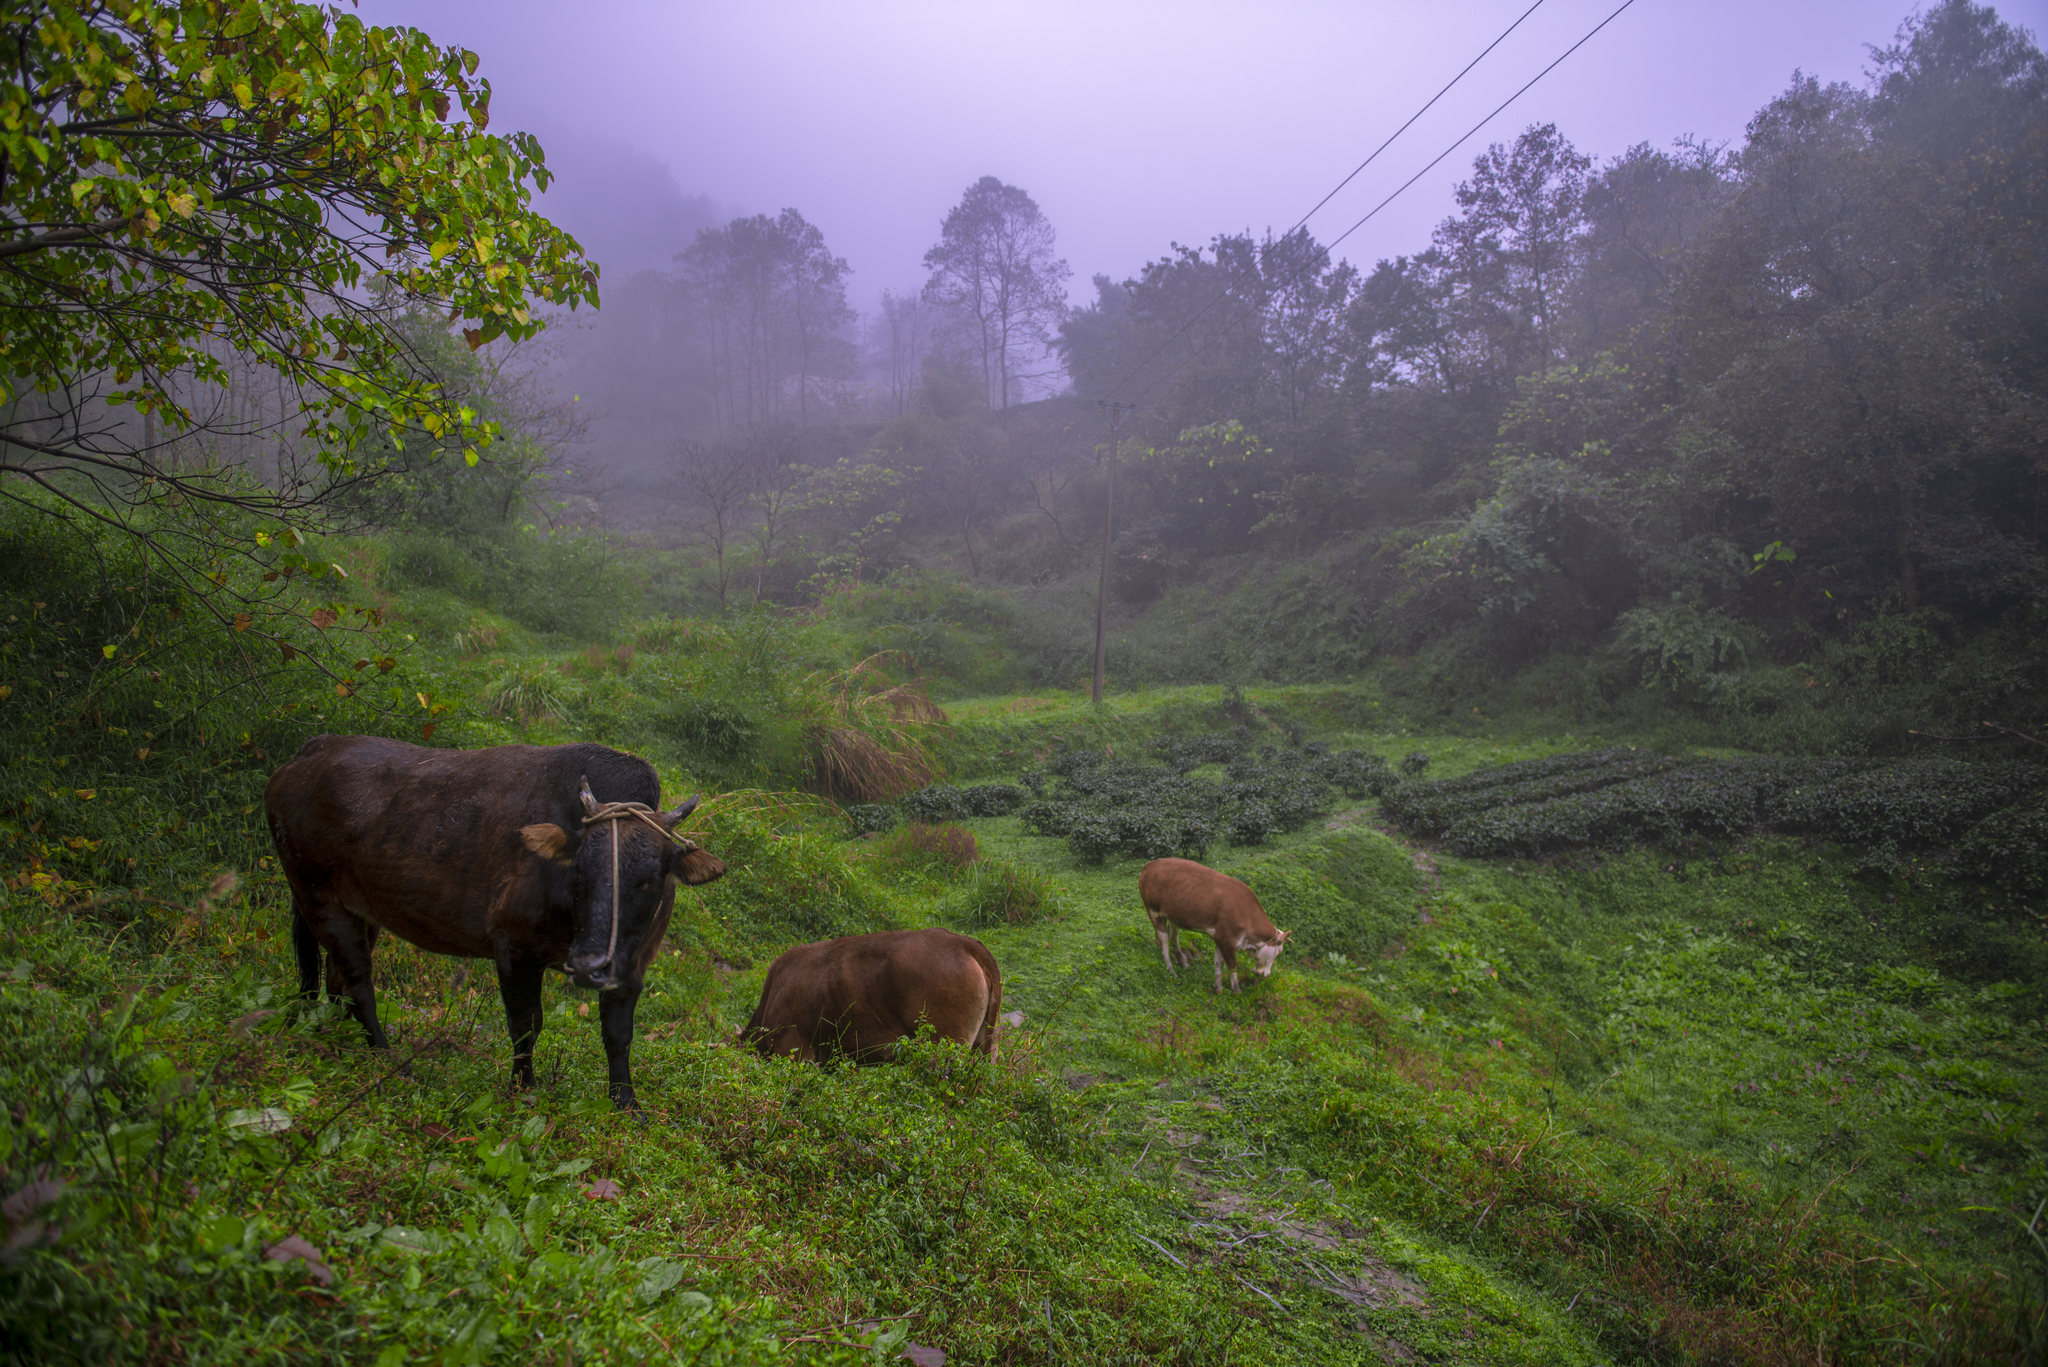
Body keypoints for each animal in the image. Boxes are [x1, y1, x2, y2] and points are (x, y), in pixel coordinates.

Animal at [264, 737, 724, 1114]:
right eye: (579, 870)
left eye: (649, 878)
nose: (590, 965)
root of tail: (307, 753)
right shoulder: (514, 948)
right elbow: (525, 1027)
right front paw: (524, 1089)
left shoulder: (632, 965)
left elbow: (618, 1034)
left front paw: (626, 1103)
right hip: (316, 893)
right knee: (357, 981)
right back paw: (384, 1054)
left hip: (357, 908)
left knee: (332, 974)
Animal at [1138, 856, 1294, 996]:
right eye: (1278, 952)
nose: (1266, 975)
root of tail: (1150, 865)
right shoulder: (1226, 939)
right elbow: (1232, 965)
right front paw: (1236, 989)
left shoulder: (1220, 938)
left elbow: (1218, 963)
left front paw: (1218, 988)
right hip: (1153, 911)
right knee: (1164, 943)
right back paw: (1171, 969)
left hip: (1173, 915)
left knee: (1172, 937)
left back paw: (1182, 961)